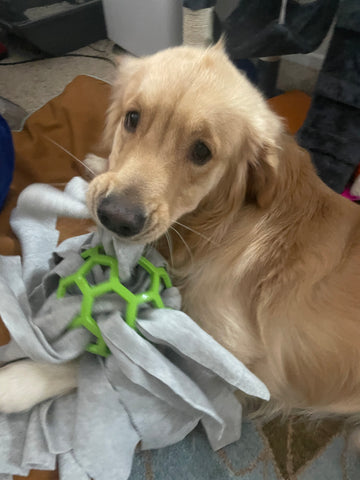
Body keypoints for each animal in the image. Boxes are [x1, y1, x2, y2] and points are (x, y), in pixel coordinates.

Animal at [2, 42, 360, 428]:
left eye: (202, 151)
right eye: (132, 118)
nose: (117, 218)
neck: (219, 224)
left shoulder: (233, 361)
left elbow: (119, 359)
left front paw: (21, 380)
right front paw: (96, 166)